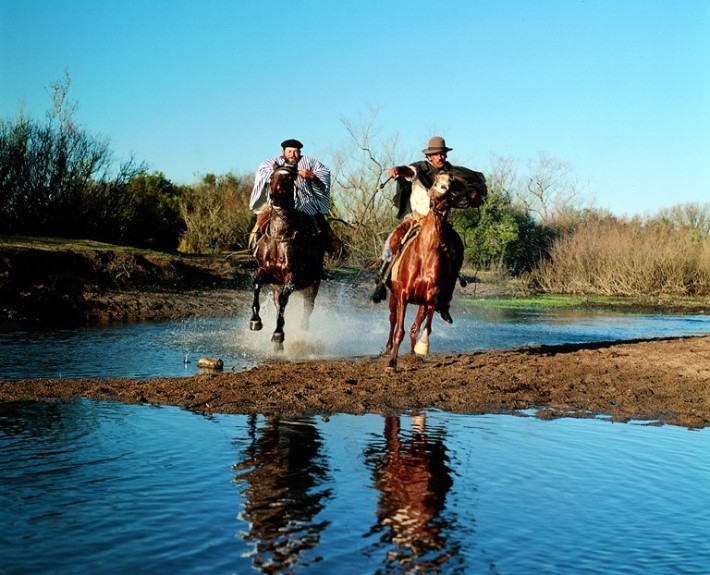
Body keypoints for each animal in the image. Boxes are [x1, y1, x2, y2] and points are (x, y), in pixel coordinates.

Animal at [249, 163, 326, 352]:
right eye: (271, 178)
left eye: (290, 179)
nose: (275, 198)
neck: (280, 235)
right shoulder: (265, 272)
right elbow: (256, 284)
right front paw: (255, 320)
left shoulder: (293, 278)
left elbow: (285, 299)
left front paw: (278, 334)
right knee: (279, 305)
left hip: (311, 288)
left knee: (305, 315)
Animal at [386, 170, 464, 374]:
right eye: (436, 182)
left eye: (451, 186)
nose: (439, 202)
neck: (424, 252)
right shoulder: (403, 295)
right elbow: (399, 331)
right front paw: (391, 363)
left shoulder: (431, 296)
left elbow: (425, 325)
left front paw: (422, 347)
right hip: (393, 297)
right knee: (392, 320)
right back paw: (388, 347)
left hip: (420, 303)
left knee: (415, 327)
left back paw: (413, 355)